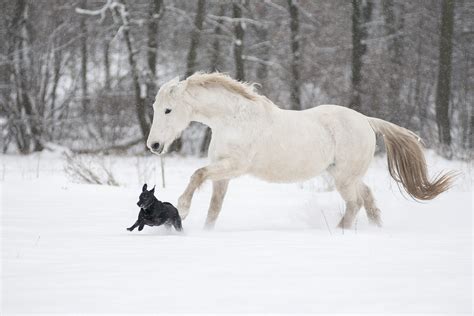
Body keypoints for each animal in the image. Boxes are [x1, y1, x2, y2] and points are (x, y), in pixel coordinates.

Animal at [146, 72, 454, 228]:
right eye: (155, 108)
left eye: (168, 110)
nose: (154, 145)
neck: (233, 119)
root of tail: (367, 121)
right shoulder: (223, 174)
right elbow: (214, 209)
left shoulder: (235, 166)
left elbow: (196, 174)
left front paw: (182, 209)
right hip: (347, 176)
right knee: (367, 198)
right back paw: (375, 228)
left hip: (344, 179)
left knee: (355, 203)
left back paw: (340, 231)